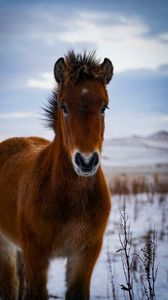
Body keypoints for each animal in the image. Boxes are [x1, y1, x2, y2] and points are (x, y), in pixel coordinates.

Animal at [0, 50, 113, 298]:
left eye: (104, 107)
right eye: (64, 106)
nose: (86, 161)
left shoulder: (85, 254)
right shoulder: (36, 255)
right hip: (5, 244)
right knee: (10, 285)